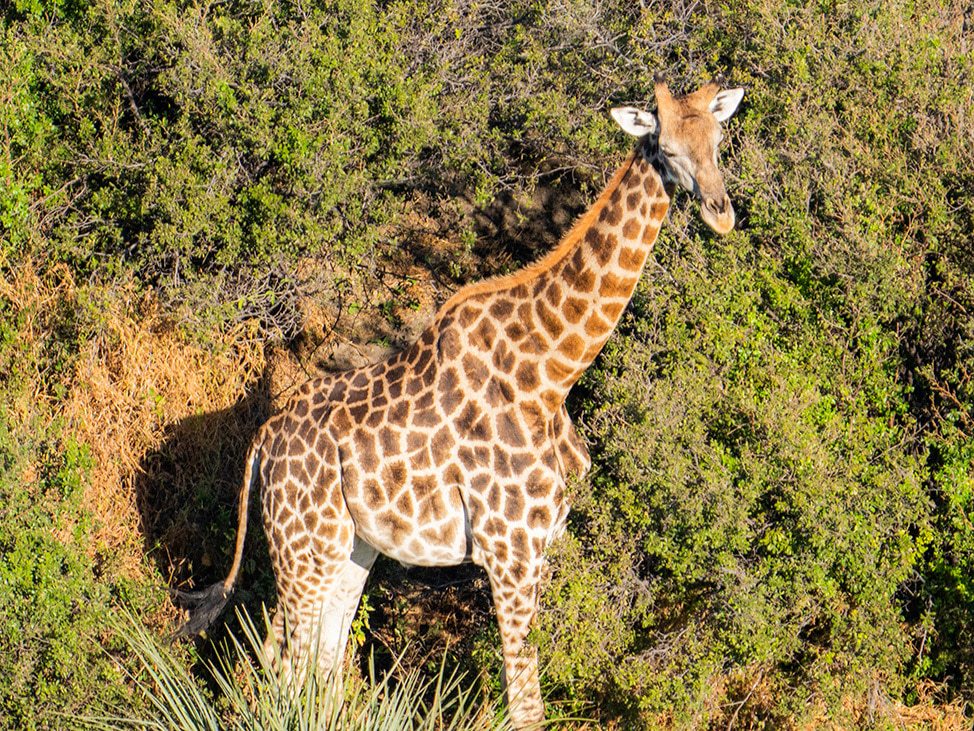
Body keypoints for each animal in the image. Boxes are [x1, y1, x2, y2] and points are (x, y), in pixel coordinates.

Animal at [179, 79, 744, 728]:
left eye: (718, 139)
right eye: (667, 147)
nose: (721, 213)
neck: (553, 373)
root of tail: (261, 444)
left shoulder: (542, 548)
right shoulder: (508, 550)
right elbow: (526, 706)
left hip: (348, 546)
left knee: (319, 662)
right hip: (302, 545)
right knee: (285, 664)